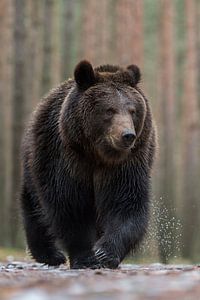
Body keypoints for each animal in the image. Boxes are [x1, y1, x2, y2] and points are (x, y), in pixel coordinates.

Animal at [20, 59, 158, 268]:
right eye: (109, 110)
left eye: (133, 110)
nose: (127, 135)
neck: (98, 154)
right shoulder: (66, 157)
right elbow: (69, 204)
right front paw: (85, 257)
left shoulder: (127, 164)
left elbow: (125, 203)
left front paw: (105, 253)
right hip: (35, 161)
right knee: (35, 207)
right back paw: (51, 254)